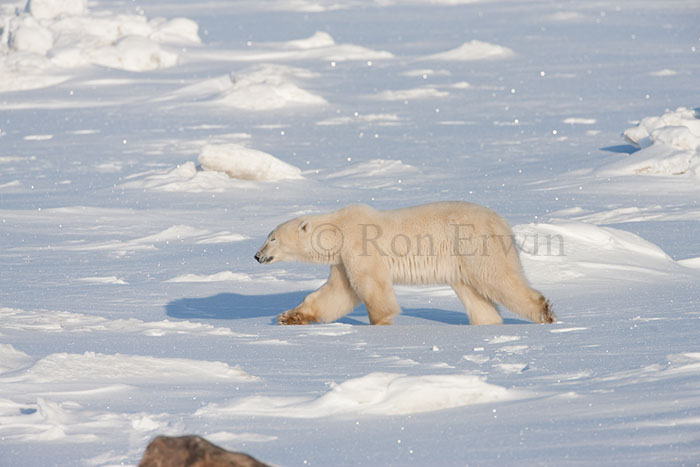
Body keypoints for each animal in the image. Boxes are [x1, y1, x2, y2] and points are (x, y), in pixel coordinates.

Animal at [254, 201, 555, 326]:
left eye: (272, 238)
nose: (257, 255)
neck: (337, 229)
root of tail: (501, 222)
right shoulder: (342, 261)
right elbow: (336, 293)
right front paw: (289, 317)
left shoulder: (360, 247)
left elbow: (371, 288)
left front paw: (380, 322)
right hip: (459, 262)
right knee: (475, 296)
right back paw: (488, 324)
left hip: (474, 245)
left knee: (498, 279)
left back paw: (543, 311)